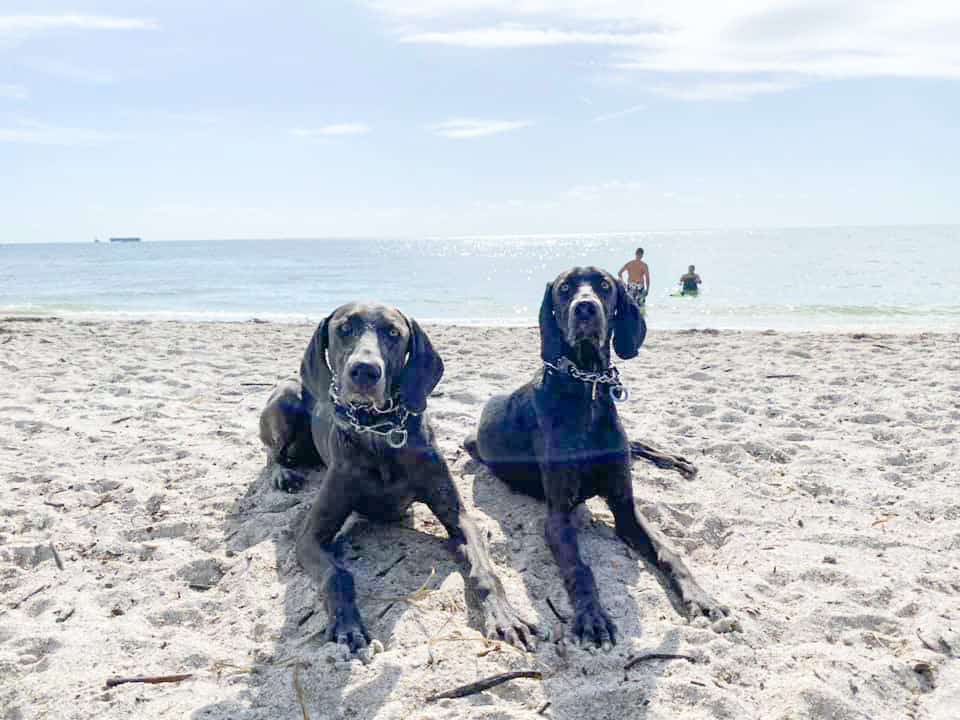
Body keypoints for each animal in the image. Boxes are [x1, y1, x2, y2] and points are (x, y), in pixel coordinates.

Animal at [258, 302, 536, 652]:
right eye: (344, 328)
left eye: (393, 332)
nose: (365, 371)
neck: (379, 431)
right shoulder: (310, 536)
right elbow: (337, 575)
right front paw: (348, 624)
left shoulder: (459, 516)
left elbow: (485, 570)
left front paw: (504, 616)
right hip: (287, 398)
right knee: (272, 450)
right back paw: (282, 473)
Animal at [464, 266, 728, 648]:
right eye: (564, 289)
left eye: (604, 285)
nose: (585, 308)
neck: (586, 387)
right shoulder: (557, 516)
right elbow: (580, 568)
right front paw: (592, 617)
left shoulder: (625, 505)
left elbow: (669, 551)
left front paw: (702, 598)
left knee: (636, 444)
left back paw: (676, 461)